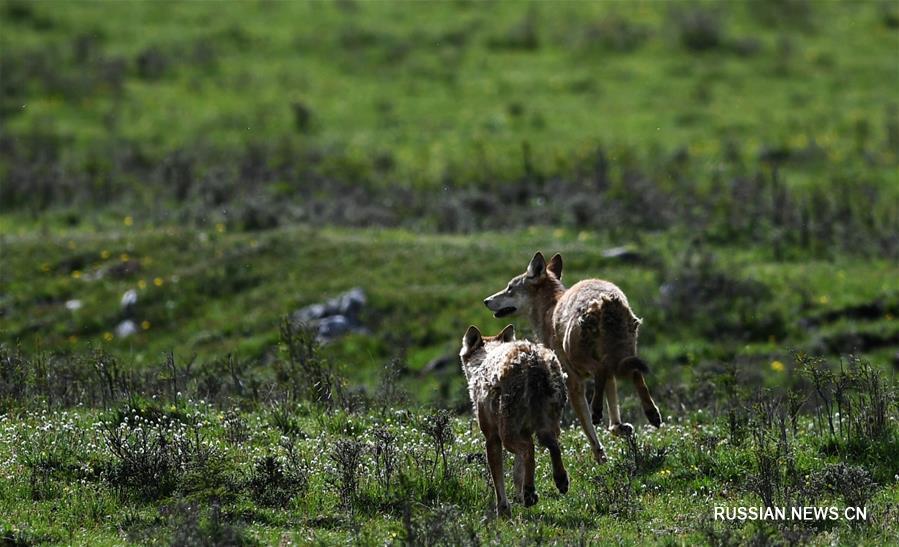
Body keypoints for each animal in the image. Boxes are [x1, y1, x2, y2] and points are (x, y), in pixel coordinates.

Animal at [458, 326, 568, 520]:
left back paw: (530, 492)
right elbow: (517, 473)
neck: (482, 362)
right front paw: (519, 497)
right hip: (547, 427)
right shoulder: (524, 432)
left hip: (507, 435)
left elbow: (498, 480)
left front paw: (503, 510)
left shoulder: (492, 438)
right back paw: (559, 481)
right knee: (553, 446)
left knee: (530, 450)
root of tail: (533, 361)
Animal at [486, 252, 660, 462]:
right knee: (635, 374)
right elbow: (613, 417)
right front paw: (619, 428)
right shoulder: (602, 375)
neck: (549, 309)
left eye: (510, 288)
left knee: (602, 373)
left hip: (579, 357)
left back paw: (597, 410)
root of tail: (605, 300)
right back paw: (652, 413)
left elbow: (589, 429)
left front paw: (600, 457)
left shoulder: (573, 382)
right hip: (622, 355)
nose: (486, 300)